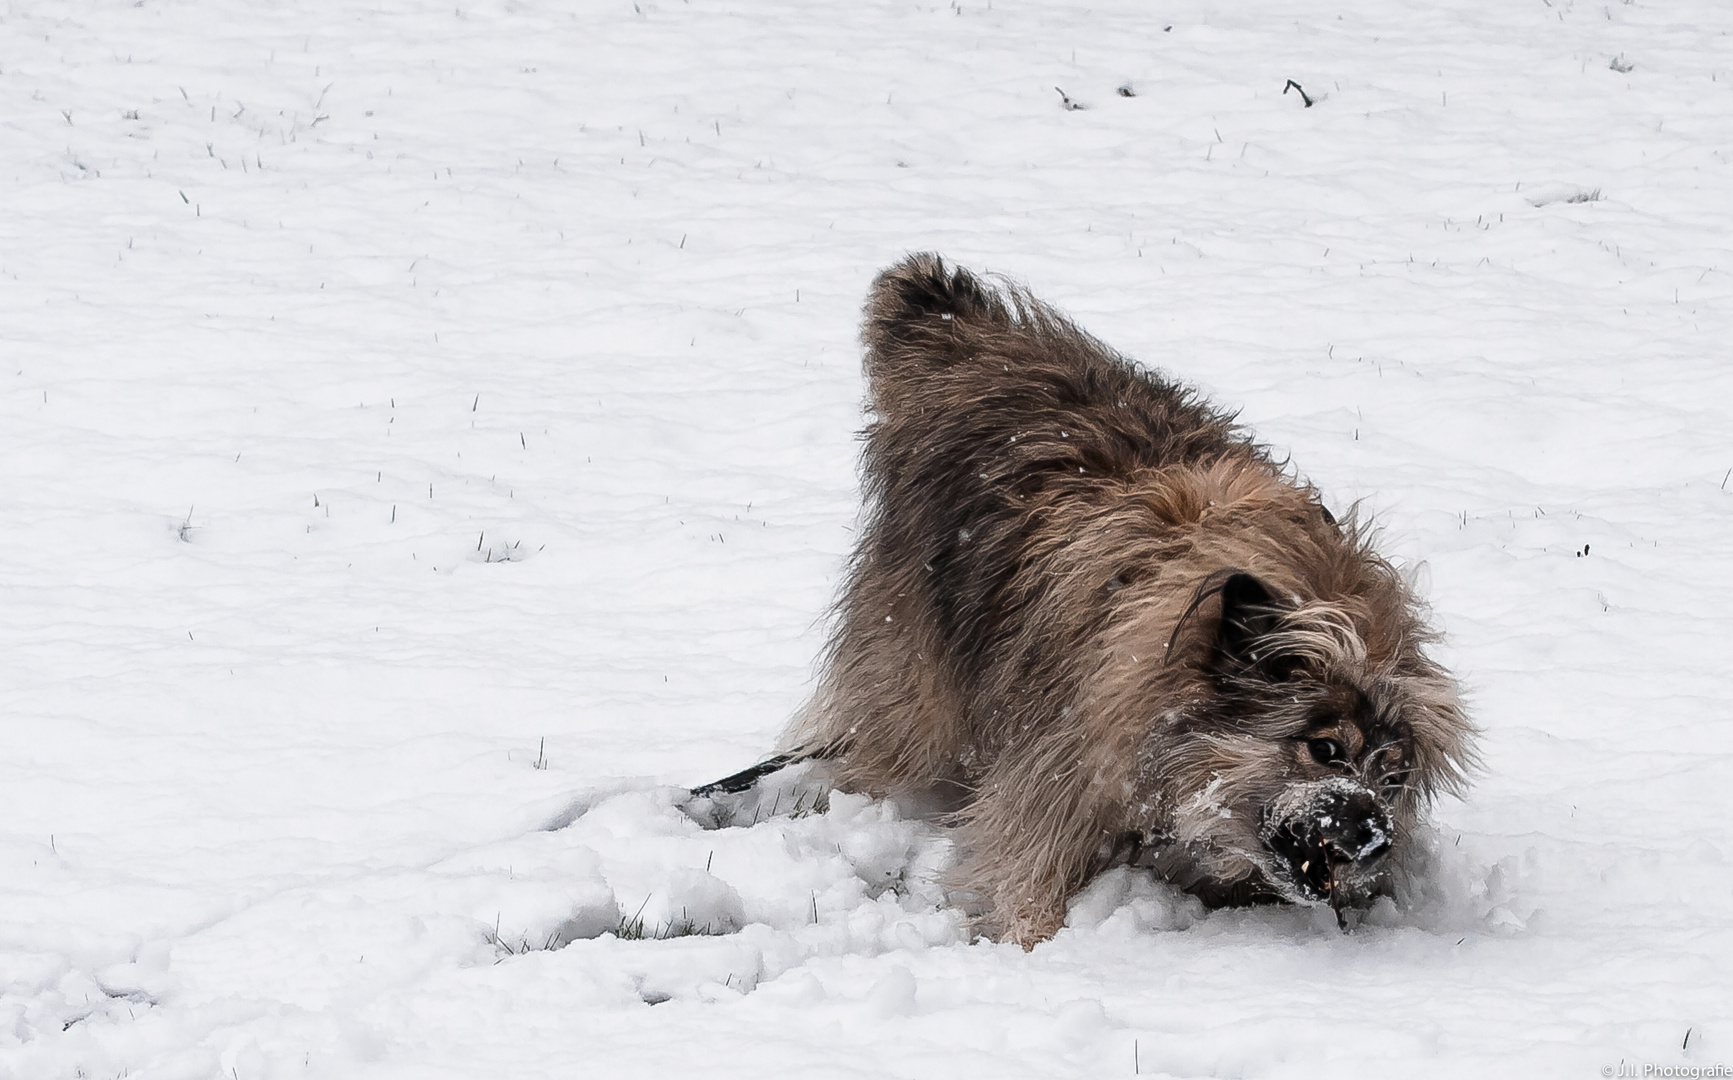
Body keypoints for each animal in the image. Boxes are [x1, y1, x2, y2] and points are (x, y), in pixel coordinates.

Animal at [772, 254, 1476, 943]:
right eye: (1326, 749)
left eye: (1394, 776)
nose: (1376, 836)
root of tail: (968, 341)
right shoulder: (1060, 775)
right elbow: (1022, 876)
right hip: (914, 666)